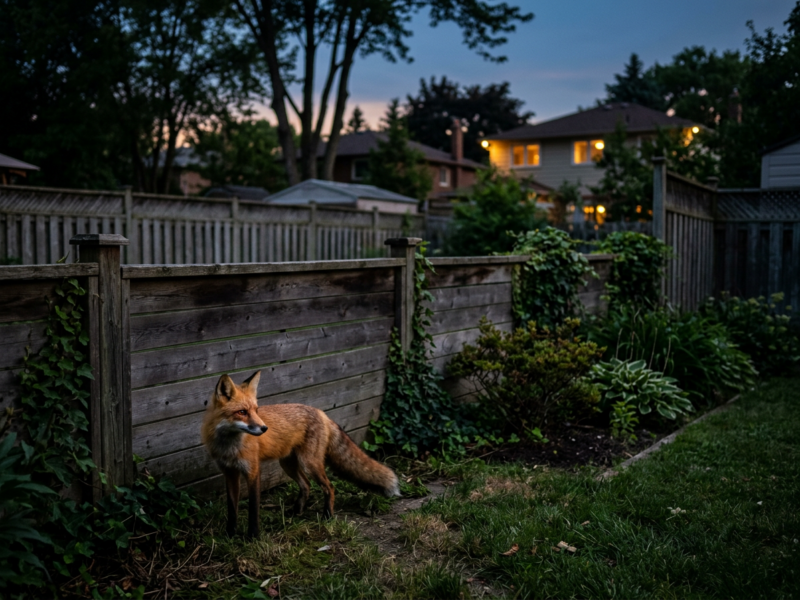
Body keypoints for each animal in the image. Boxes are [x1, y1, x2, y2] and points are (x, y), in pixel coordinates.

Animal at [201, 370, 401, 538]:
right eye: (242, 412)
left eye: (256, 411)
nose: (264, 428)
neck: (229, 447)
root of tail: (321, 412)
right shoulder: (230, 473)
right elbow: (232, 509)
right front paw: (230, 535)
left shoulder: (253, 472)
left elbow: (253, 509)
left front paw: (253, 537)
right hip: (288, 464)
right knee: (306, 485)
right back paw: (297, 512)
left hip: (309, 463)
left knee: (329, 487)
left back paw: (328, 516)